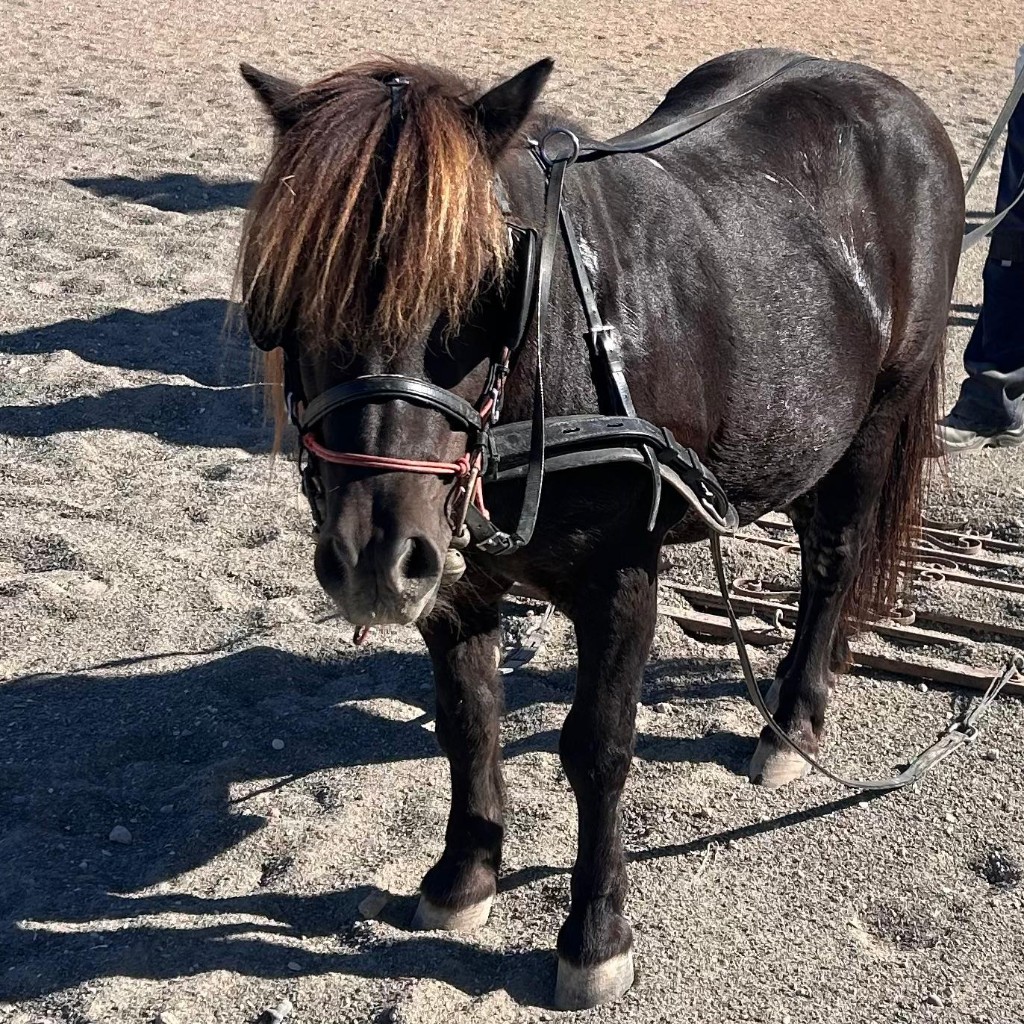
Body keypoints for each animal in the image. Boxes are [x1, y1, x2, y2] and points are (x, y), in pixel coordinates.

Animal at [236, 49, 964, 1009]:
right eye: (288, 293)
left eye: (485, 290)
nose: (371, 560)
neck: (556, 363)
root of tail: (884, 93)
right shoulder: (455, 583)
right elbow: (467, 719)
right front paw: (462, 878)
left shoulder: (621, 579)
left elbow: (598, 747)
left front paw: (595, 935)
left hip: (875, 421)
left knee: (831, 563)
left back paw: (791, 722)